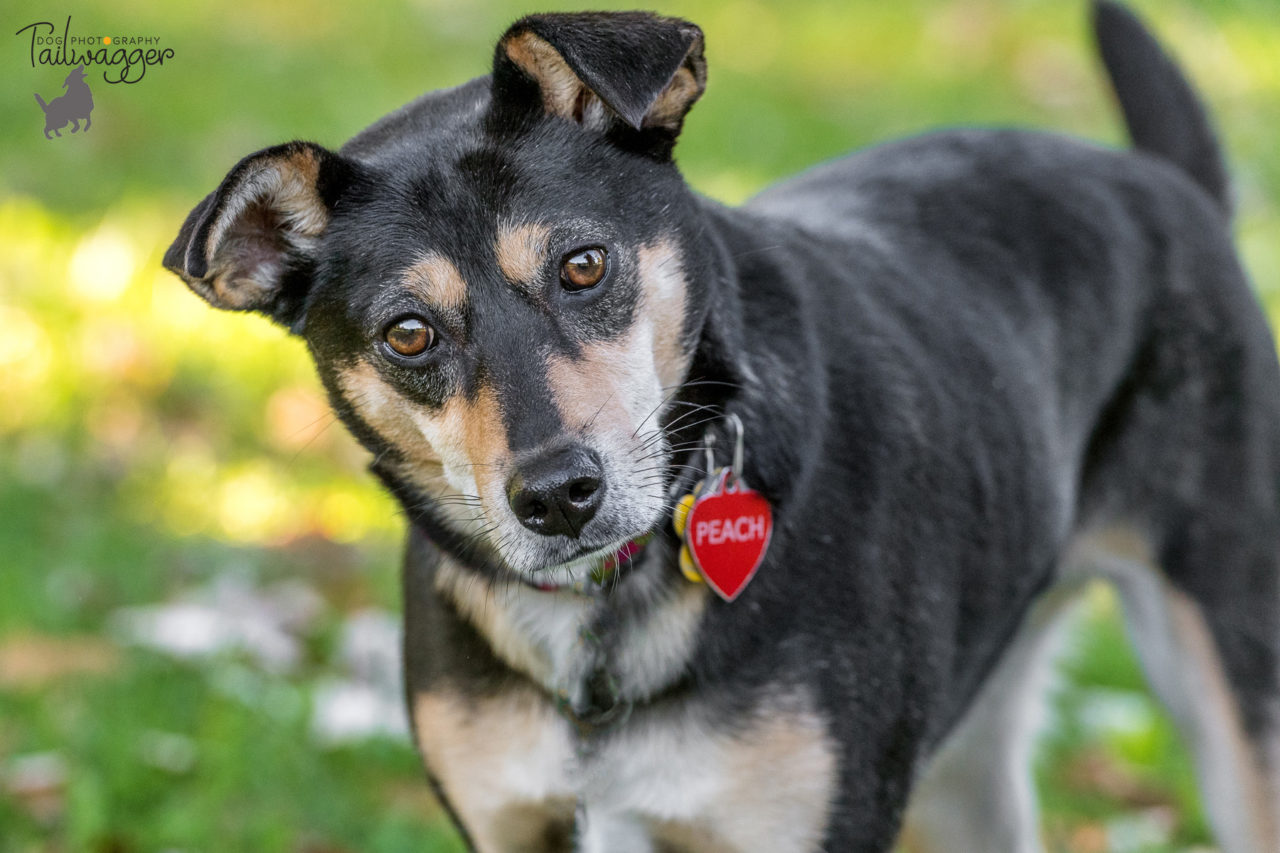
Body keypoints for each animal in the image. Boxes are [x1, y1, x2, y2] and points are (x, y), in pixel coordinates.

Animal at [162, 3, 1280, 845]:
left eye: (582, 265)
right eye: (407, 333)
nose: (558, 497)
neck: (600, 622)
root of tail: (1169, 183)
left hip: (1232, 689)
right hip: (968, 761)